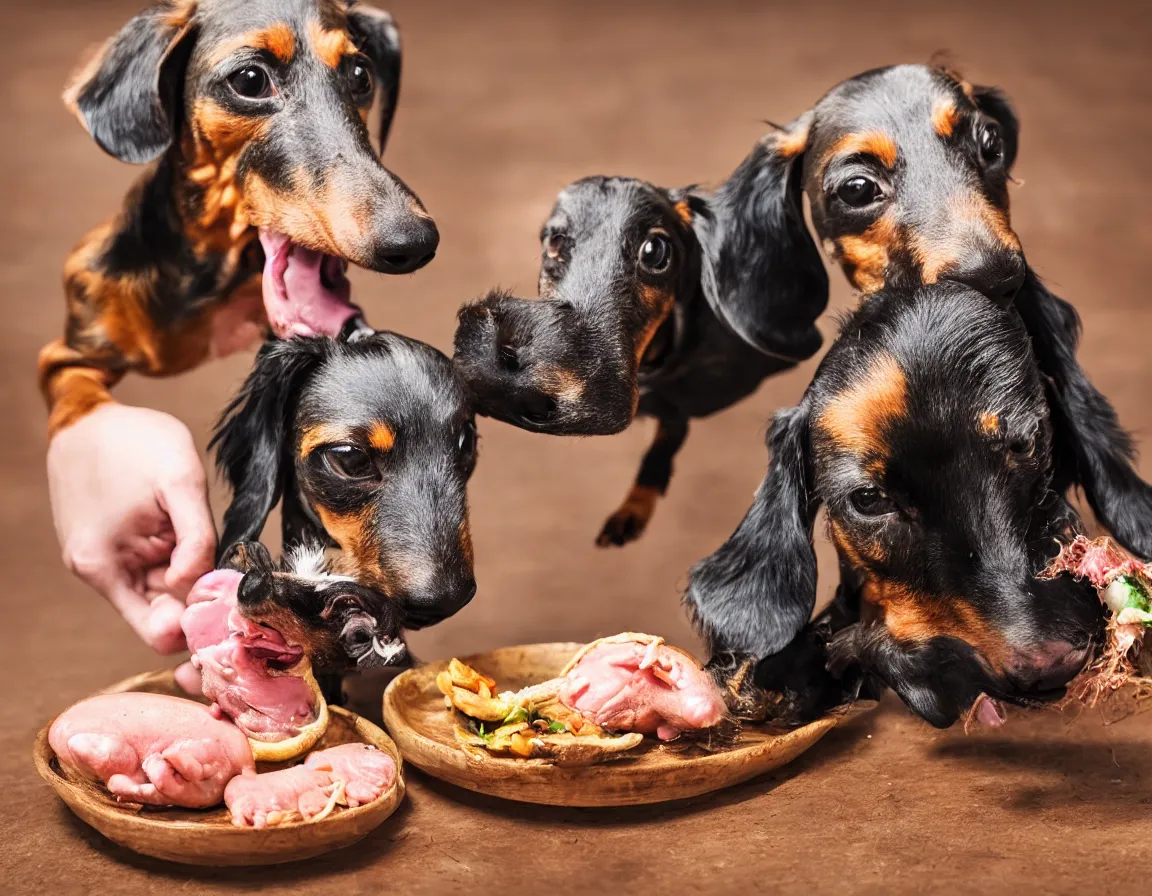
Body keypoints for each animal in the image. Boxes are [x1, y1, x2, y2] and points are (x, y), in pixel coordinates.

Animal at [38, 2, 437, 435]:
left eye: (361, 74)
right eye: (250, 80)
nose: (416, 242)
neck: (212, 277)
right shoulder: (66, 356)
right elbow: (79, 402)